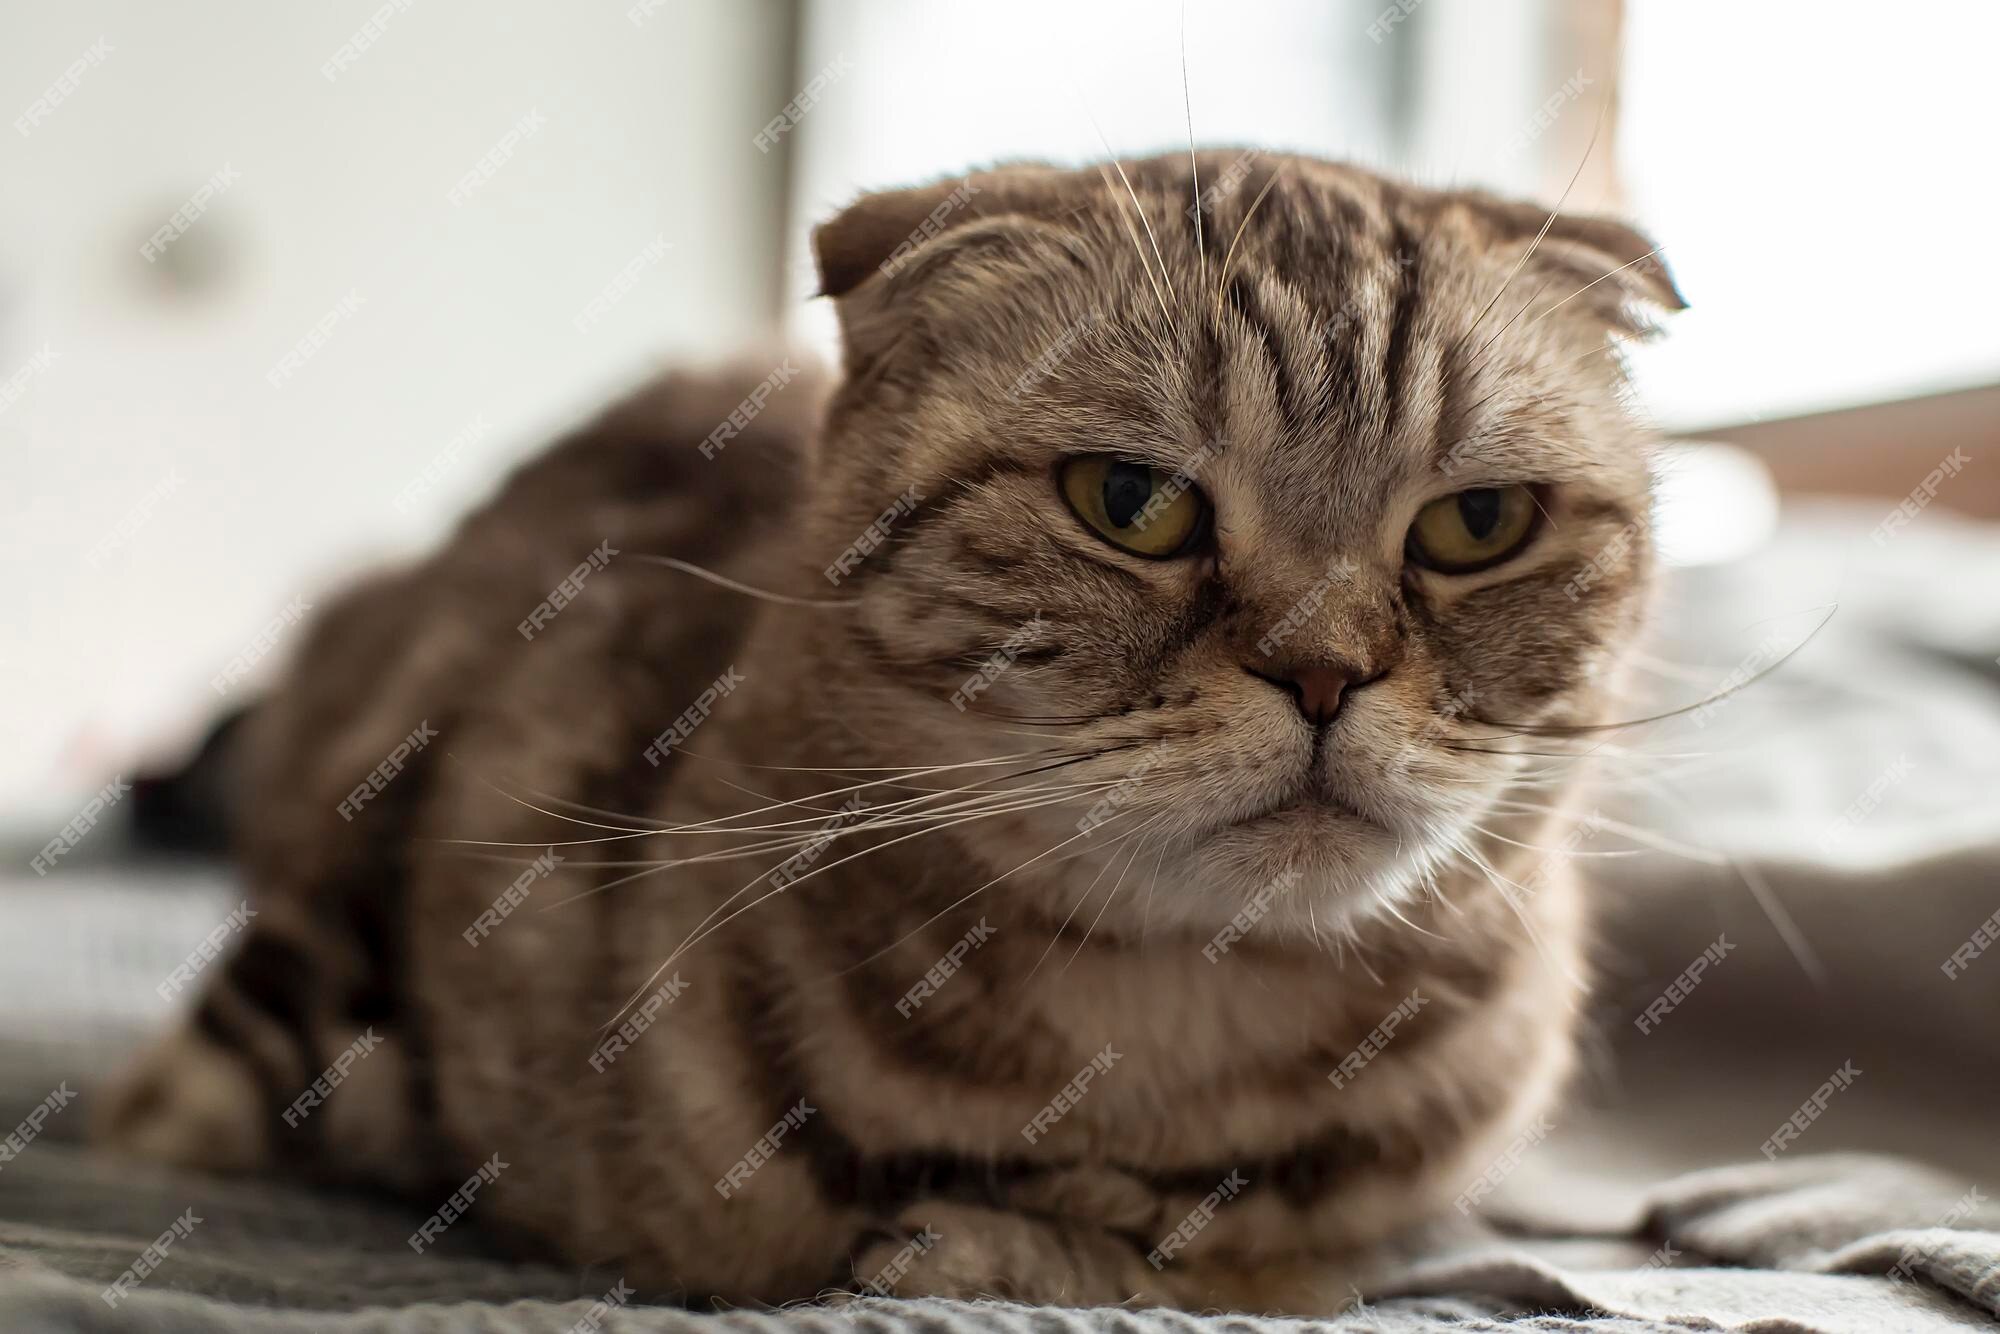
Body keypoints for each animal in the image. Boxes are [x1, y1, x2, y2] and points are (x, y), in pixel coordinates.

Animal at [101, 151, 1680, 1312]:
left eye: (1478, 523)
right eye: (1130, 502)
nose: (1323, 671)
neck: (1168, 1042)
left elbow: (1249, 1267)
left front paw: (1040, 1242)